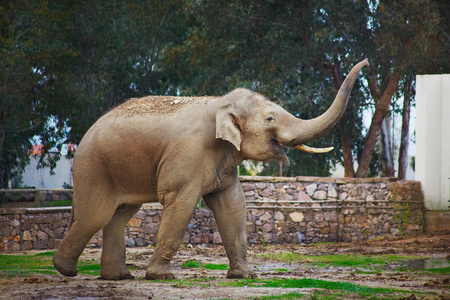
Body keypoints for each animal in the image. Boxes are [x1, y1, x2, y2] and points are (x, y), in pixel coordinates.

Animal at [52, 59, 370, 282]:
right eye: (270, 118)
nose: (366, 62)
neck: (221, 101)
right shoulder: (187, 154)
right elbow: (180, 203)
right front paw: (161, 277)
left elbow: (232, 205)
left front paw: (245, 276)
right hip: (93, 167)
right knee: (96, 216)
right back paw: (66, 271)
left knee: (120, 215)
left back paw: (118, 277)